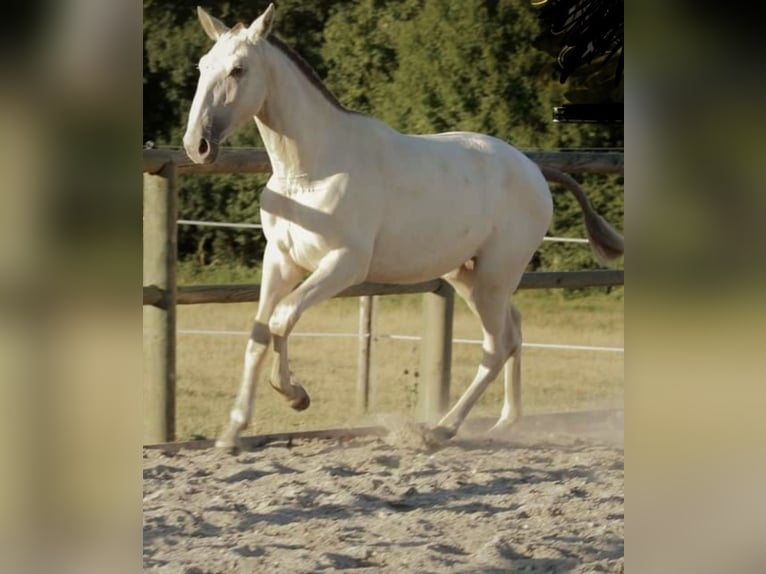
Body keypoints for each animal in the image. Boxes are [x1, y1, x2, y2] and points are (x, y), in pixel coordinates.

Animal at [184, 4, 624, 450]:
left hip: (494, 278)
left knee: (496, 346)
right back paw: (504, 422)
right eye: (203, 66)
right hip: (469, 275)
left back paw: (441, 428)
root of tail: (535, 169)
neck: (311, 172)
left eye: (238, 70)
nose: (196, 145)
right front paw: (232, 432)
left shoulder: (345, 264)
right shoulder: (280, 260)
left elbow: (282, 318)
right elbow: (258, 334)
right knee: (513, 332)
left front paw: (296, 396)